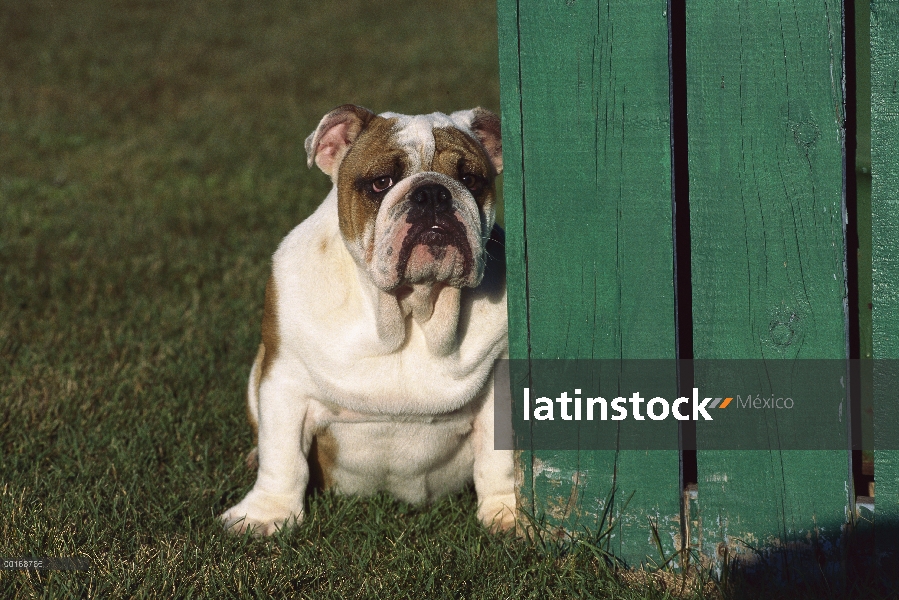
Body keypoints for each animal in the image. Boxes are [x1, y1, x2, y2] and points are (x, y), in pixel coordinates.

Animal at [221, 104, 516, 536]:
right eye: (381, 183)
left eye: (470, 180)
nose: (433, 193)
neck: (410, 314)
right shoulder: (283, 380)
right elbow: (283, 458)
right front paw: (266, 514)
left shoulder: (502, 383)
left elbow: (501, 461)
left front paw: (508, 514)